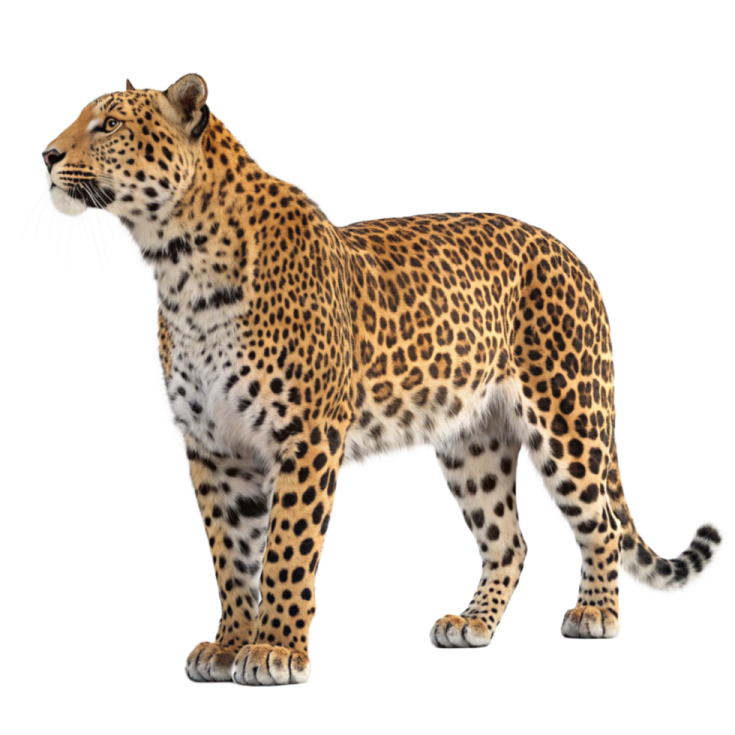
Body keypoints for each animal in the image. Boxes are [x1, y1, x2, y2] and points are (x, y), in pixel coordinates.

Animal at [27, 73, 727, 686]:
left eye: (110, 124)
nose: (45, 154)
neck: (176, 265)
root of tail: (573, 255)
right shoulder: (213, 448)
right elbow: (230, 553)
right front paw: (229, 646)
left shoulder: (305, 434)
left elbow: (286, 548)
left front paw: (276, 650)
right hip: (472, 442)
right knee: (509, 539)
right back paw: (472, 624)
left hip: (567, 414)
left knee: (598, 519)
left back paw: (594, 613)